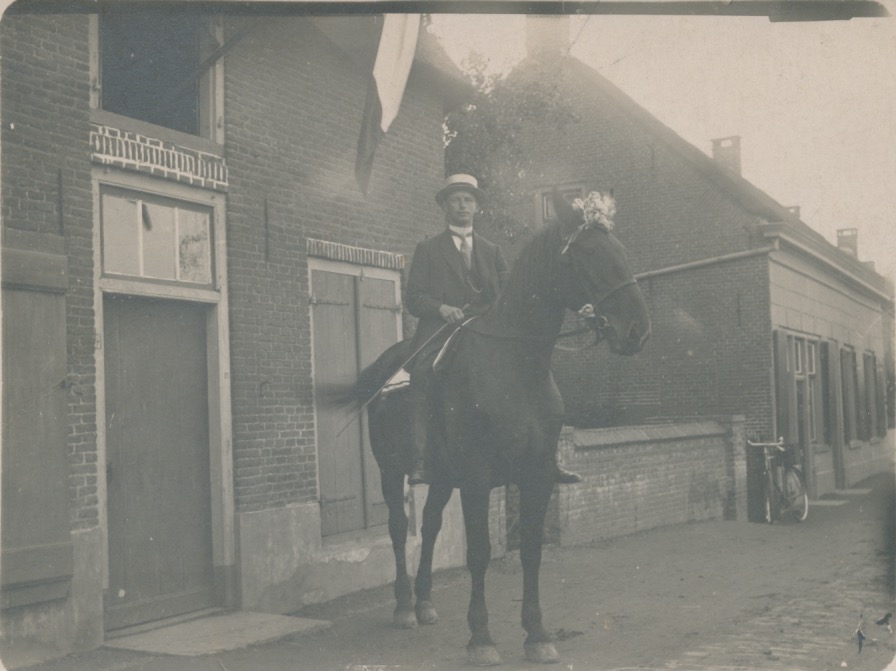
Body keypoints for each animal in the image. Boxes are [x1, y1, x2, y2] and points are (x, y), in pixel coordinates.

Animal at [340, 191, 651, 665]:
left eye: (619, 250)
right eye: (589, 252)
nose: (637, 330)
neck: (517, 366)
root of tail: (382, 365)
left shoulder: (536, 475)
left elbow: (532, 552)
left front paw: (537, 634)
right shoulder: (477, 477)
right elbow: (480, 553)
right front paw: (481, 638)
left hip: (442, 477)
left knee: (429, 524)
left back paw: (425, 602)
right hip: (392, 472)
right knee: (398, 527)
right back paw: (404, 606)